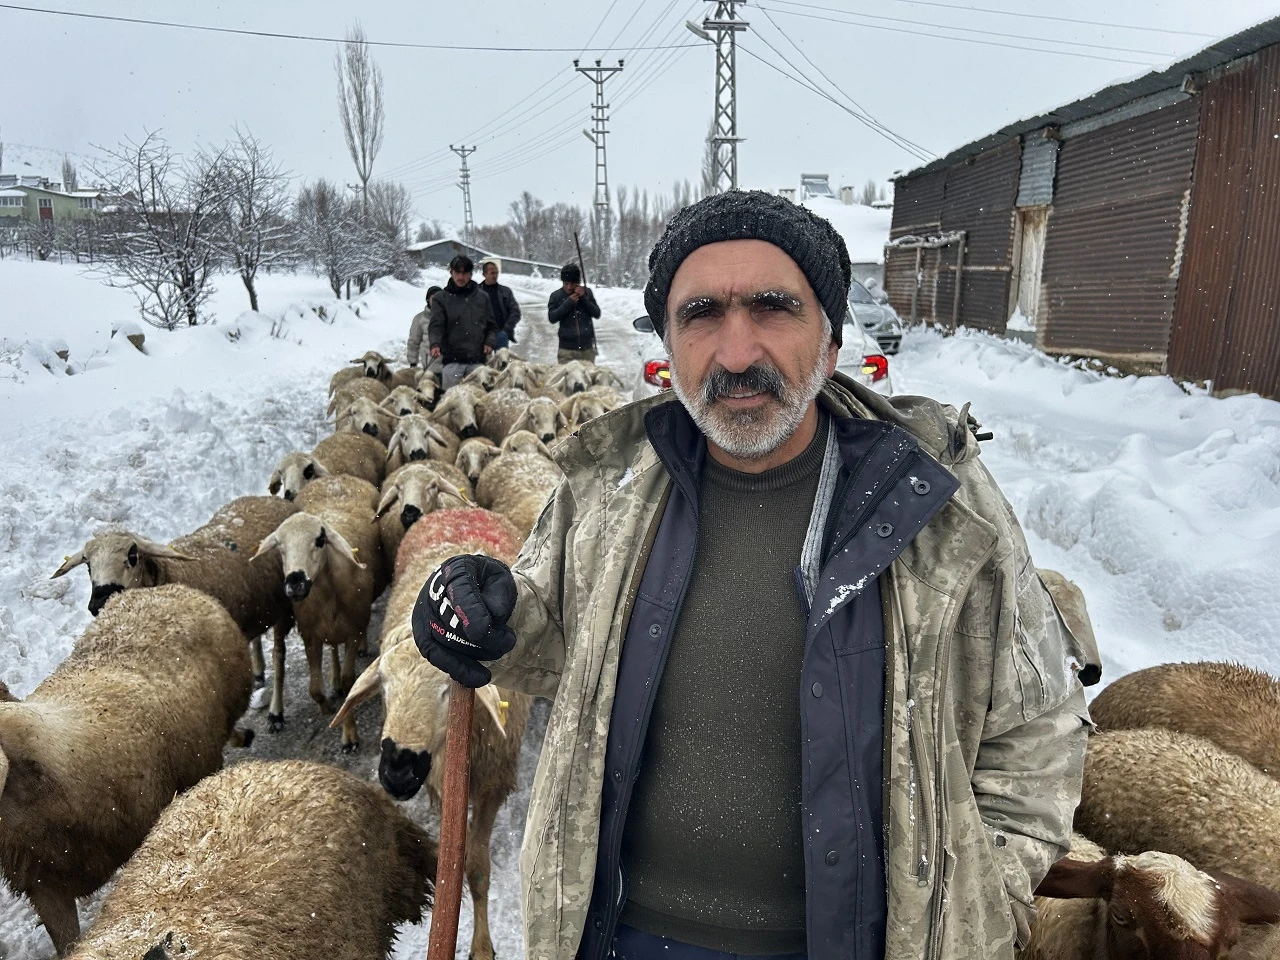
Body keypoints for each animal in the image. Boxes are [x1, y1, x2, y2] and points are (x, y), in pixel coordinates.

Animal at [51, 499, 294, 696]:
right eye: (88, 565)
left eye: (132, 555)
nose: (98, 603)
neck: (170, 572)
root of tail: (272, 500)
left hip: (285, 605)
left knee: (279, 655)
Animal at [250, 473, 384, 752]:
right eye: (279, 546)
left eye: (320, 540)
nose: (295, 582)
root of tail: (338, 476)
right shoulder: (310, 635)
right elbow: (314, 689)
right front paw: (325, 706)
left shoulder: (354, 631)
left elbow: (349, 682)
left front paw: (349, 736)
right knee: (282, 654)